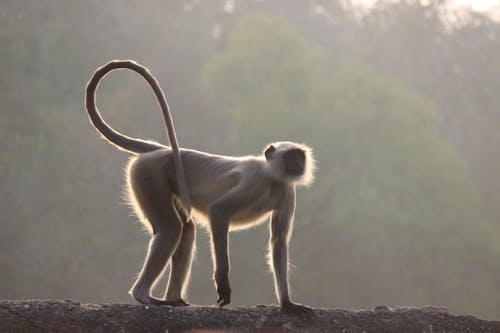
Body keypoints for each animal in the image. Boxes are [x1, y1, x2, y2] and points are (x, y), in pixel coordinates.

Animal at [82, 59, 316, 316]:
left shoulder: (286, 191)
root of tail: (160, 150)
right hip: (148, 174)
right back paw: (143, 295)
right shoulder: (255, 182)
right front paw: (222, 281)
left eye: (300, 157)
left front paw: (287, 304)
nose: (299, 165)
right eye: (291, 157)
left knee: (186, 229)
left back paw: (173, 299)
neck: (271, 177)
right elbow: (219, 211)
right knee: (172, 228)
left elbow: (278, 242)